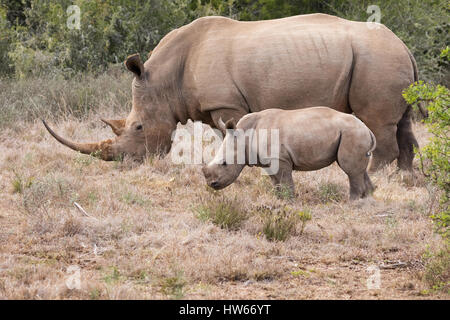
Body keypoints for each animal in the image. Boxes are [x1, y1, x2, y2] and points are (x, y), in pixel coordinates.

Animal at [44, 13, 420, 170]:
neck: (165, 80)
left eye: (137, 127)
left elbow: (232, 136)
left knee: (377, 123)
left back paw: (375, 174)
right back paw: (404, 179)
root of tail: (404, 44)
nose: (124, 162)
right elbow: (221, 137)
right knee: (402, 124)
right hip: (384, 60)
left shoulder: (227, 105)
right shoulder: (216, 107)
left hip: (376, 60)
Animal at [203, 109, 376, 201]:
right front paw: (279, 200)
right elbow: (276, 183)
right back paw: (367, 199)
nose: (212, 184)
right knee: (359, 170)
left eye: (225, 163)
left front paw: (290, 202)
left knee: (350, 170)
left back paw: (352, 203)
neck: (244, 135)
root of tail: (367, 128)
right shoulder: (269, 162)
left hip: (352, 133)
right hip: (354, 134)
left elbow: (286, 183)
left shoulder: (280, 159)